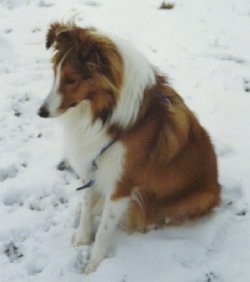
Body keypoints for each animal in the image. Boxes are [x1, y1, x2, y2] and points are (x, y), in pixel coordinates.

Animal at [38, 22, 220, 276]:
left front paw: (94, 264)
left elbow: (104, 230)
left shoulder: (121, 185)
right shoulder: (92, 166)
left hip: (200, 199)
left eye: (71, 79)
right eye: (55, 73)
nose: (41, 112)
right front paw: (83, 237)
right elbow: (86, 205)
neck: (103, 113)